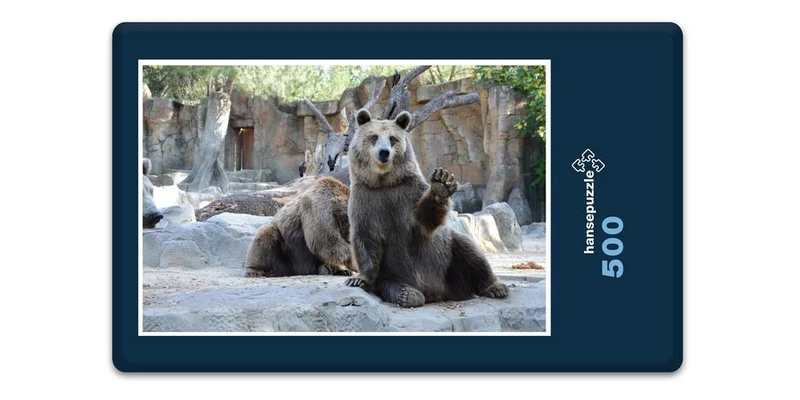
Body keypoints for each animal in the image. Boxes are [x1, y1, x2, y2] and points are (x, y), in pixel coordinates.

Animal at [344, 109, 508, 307]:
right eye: (374, 136)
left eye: (392, 138)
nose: (384, 152)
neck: (384, 182)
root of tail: (437, 293)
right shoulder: (366, 200)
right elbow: (365, 238)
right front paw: (358, 279)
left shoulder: (408, 194)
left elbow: (425, 220)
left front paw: (441, 183)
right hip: (392, 274)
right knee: (391, 284)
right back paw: (407, 294)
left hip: (448, 263)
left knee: (469, 251)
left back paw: (496, 287)